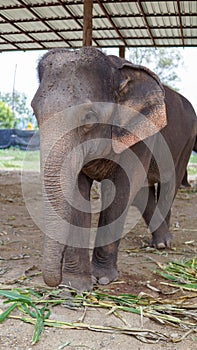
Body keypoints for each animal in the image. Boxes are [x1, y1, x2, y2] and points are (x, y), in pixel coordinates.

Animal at [30, 47, 197, 292]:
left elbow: (121, 190)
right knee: (145, 191)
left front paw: (103, 279)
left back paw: (163, 244)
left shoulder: (139, 136)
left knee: (169, 186)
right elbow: (79, 191)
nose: (56, 280)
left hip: (186, 143)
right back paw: (158, 240)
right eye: (34, 113)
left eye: (89, 116)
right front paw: (76, 285)